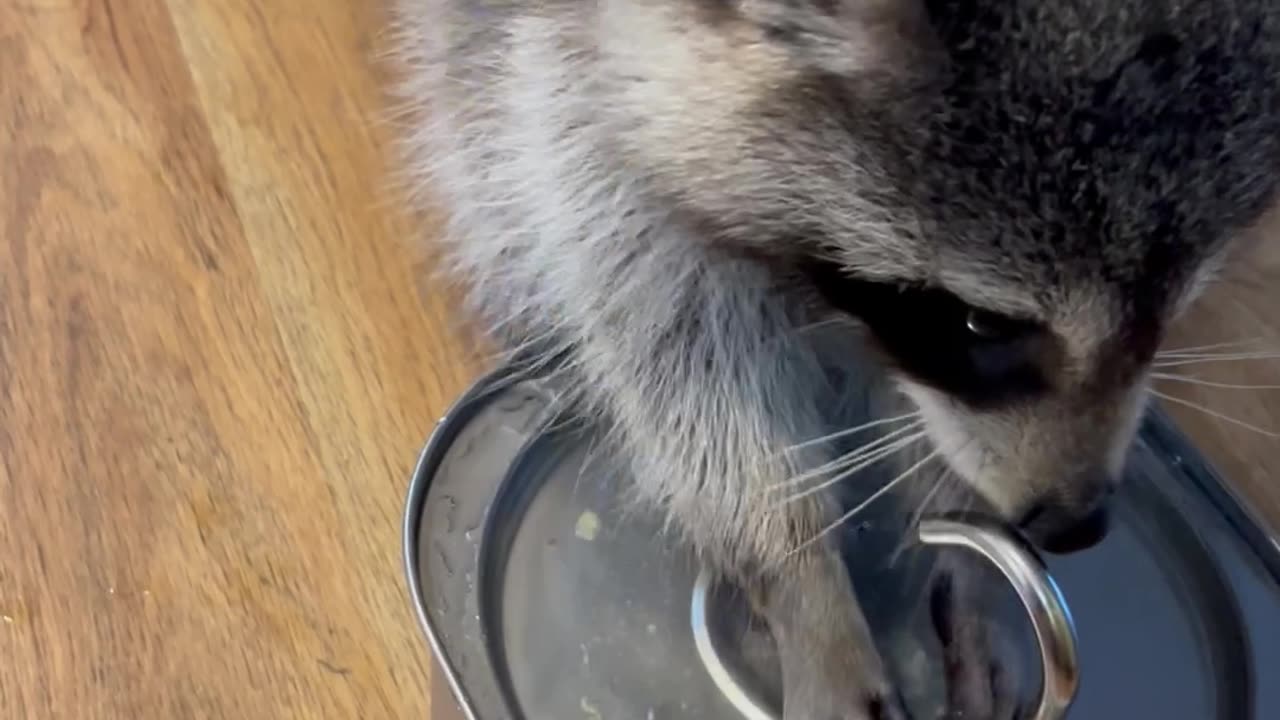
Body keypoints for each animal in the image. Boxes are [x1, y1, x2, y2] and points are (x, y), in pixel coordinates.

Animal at [389, 2, 1280, 712]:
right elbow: (672, 350)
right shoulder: (568, 103)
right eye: (980, 325)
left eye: (1178, 306)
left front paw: (962, 562)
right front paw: (797, 575)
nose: (1076, 521)